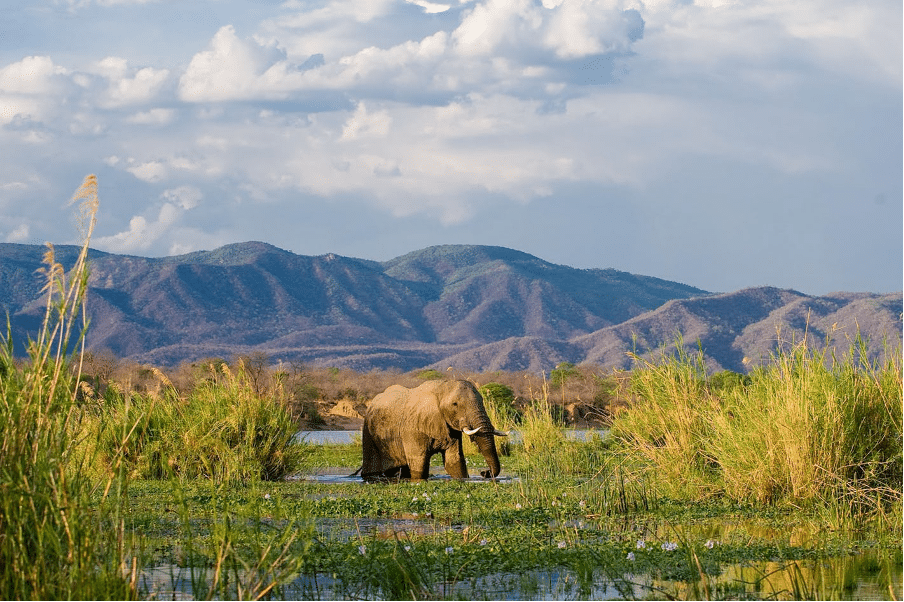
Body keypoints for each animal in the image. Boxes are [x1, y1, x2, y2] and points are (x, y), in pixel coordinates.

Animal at [358, 378, 504, 480]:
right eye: (455, 404)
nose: (484, 472)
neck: (441, 387)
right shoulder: (412, 428)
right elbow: (419, 464)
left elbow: (454, 461)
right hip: (368, 432)